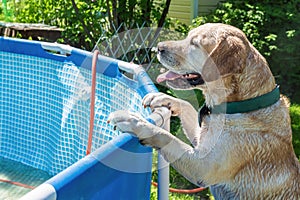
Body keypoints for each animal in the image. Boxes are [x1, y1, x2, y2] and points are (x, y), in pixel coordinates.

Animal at [108, 23, 300, 198]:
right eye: (187, 37)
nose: (158, 48)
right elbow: (187, 106)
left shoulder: (202, 166)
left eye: (195, 43)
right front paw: (162, 97)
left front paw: (132, 120)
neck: (242, 104)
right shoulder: (201, 139)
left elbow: (166, 136)